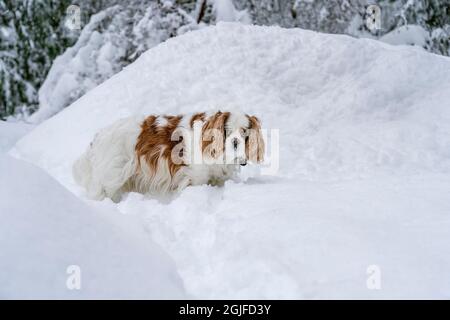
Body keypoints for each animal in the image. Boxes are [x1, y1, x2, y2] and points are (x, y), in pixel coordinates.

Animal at [72, 110, 266, 200]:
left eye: (245, 133)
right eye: (228, 131)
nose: (236, 143)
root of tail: (98, 137)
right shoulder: (194, 178)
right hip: (113, 175)